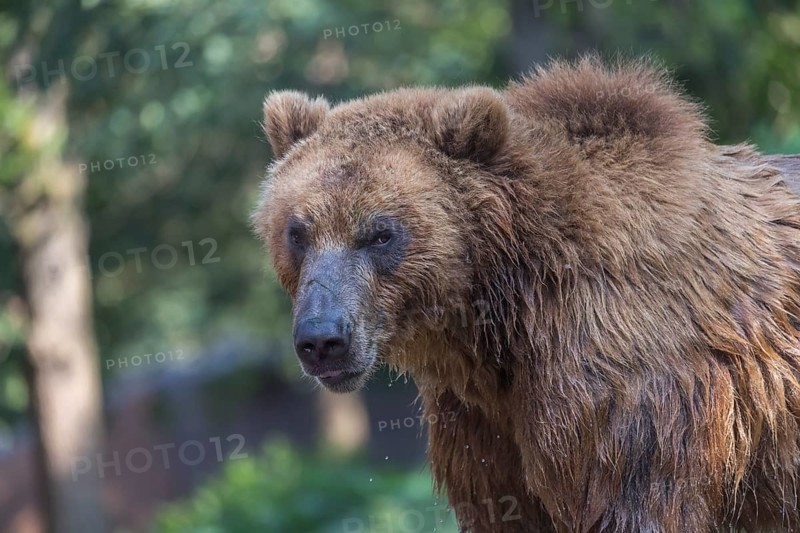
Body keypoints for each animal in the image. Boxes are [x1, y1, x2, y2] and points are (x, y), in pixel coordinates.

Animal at [251, 57, 800, 532]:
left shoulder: (628, 389)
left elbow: (627, 500)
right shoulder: (483, 428)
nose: (322, 339)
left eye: (380, 233)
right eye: (297, 231)